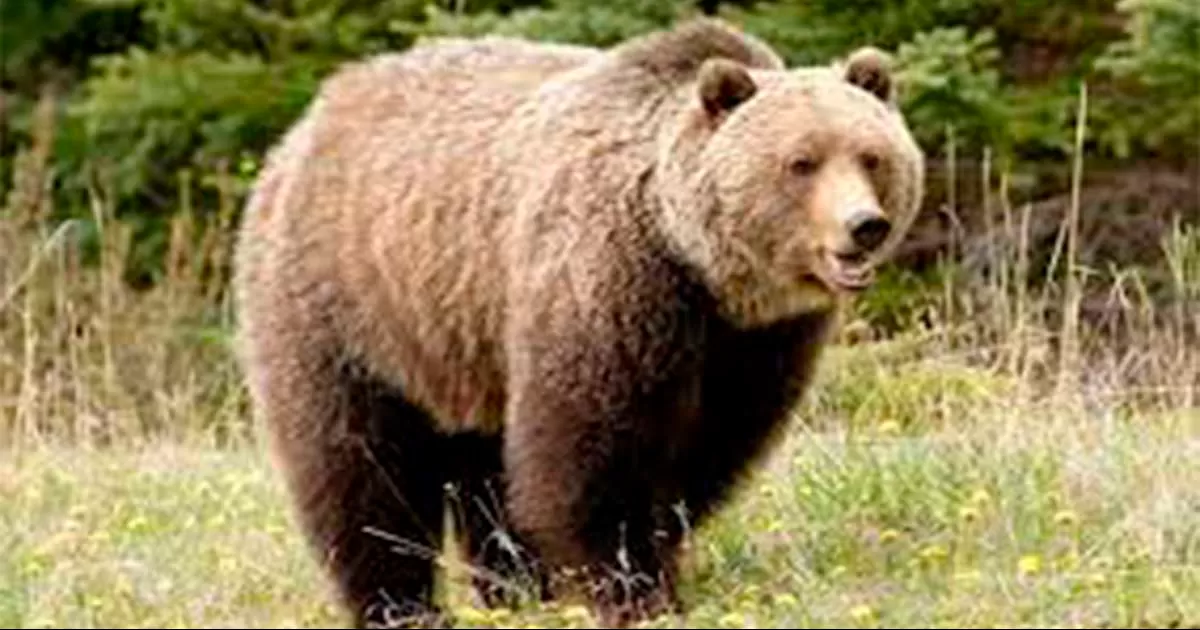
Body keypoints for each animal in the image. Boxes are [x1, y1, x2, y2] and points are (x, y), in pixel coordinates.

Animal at [231, 17, 924, 629]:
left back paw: (513, 589)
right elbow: (592, 449)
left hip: (465, 337)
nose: (864, 226)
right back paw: (400, 605)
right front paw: (634, 589)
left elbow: (711, 446)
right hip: (348, 303)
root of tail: (305, 125)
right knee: (358, 464)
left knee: (485, 466)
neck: (700, 266)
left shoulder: (754, 342)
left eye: (872, 156)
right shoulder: (606, 281)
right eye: (801, 161)